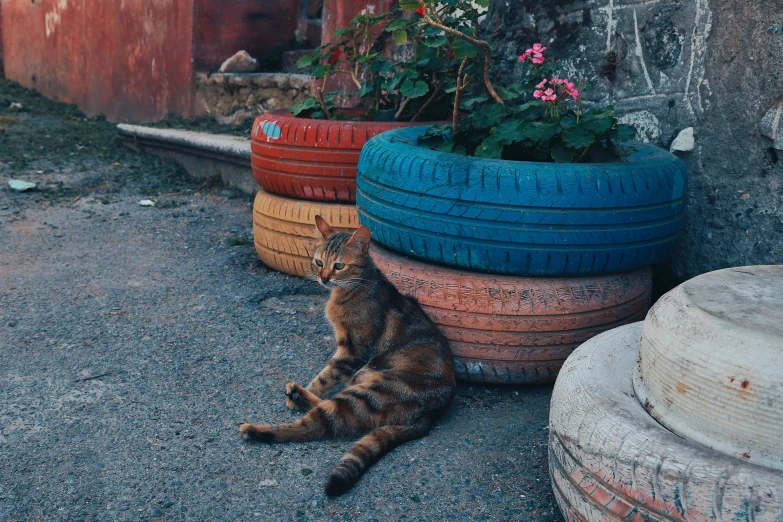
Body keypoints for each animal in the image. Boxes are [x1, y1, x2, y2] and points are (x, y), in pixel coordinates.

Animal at [242, 215, 456, 496]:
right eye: (319, 262)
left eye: (339, 266)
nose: (323, 278)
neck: (355, 287)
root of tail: (433, 413)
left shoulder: (352, 350)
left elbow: (326, 376)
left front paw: (309, 389)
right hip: (360, 383)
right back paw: (298, 395)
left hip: (365, 395)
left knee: (314, 426)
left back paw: (258, 428)